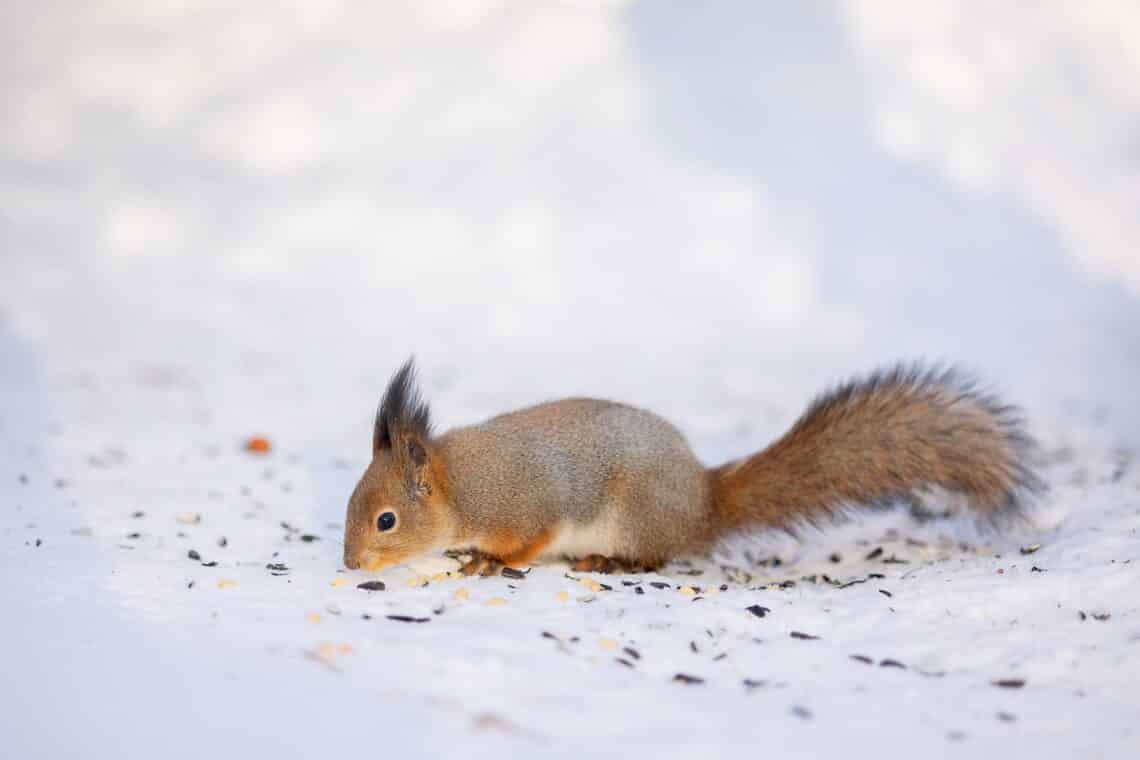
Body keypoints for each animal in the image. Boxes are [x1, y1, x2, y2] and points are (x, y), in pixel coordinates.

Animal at [339, 360, 1044, 574]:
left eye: (385, 520)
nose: (349, 565)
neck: (462, 487)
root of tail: (704, 502)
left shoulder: (528, 506)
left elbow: (529, 542)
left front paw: (487, 561)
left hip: (634, 518)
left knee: (657, 556)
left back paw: (611, 562)